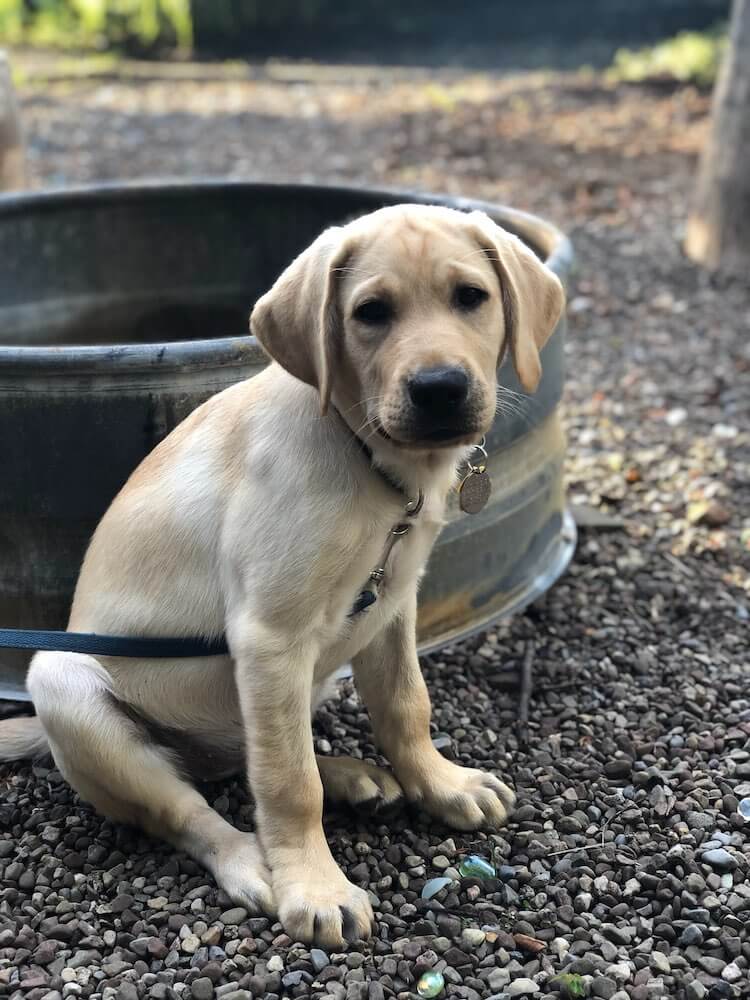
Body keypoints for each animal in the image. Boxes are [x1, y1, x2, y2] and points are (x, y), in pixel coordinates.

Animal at [0, 201, 564, 944]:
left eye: (471, 297)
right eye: (371, 313)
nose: (439, 390)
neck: (368, 459)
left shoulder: (393, 604)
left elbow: (405, 705)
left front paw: (440, 784)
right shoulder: (271, 636)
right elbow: (289, 784)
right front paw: (314, 885)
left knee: (245, 753)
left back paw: (350, 775)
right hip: (66, 685)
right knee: (191, 804)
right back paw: (252, 860)